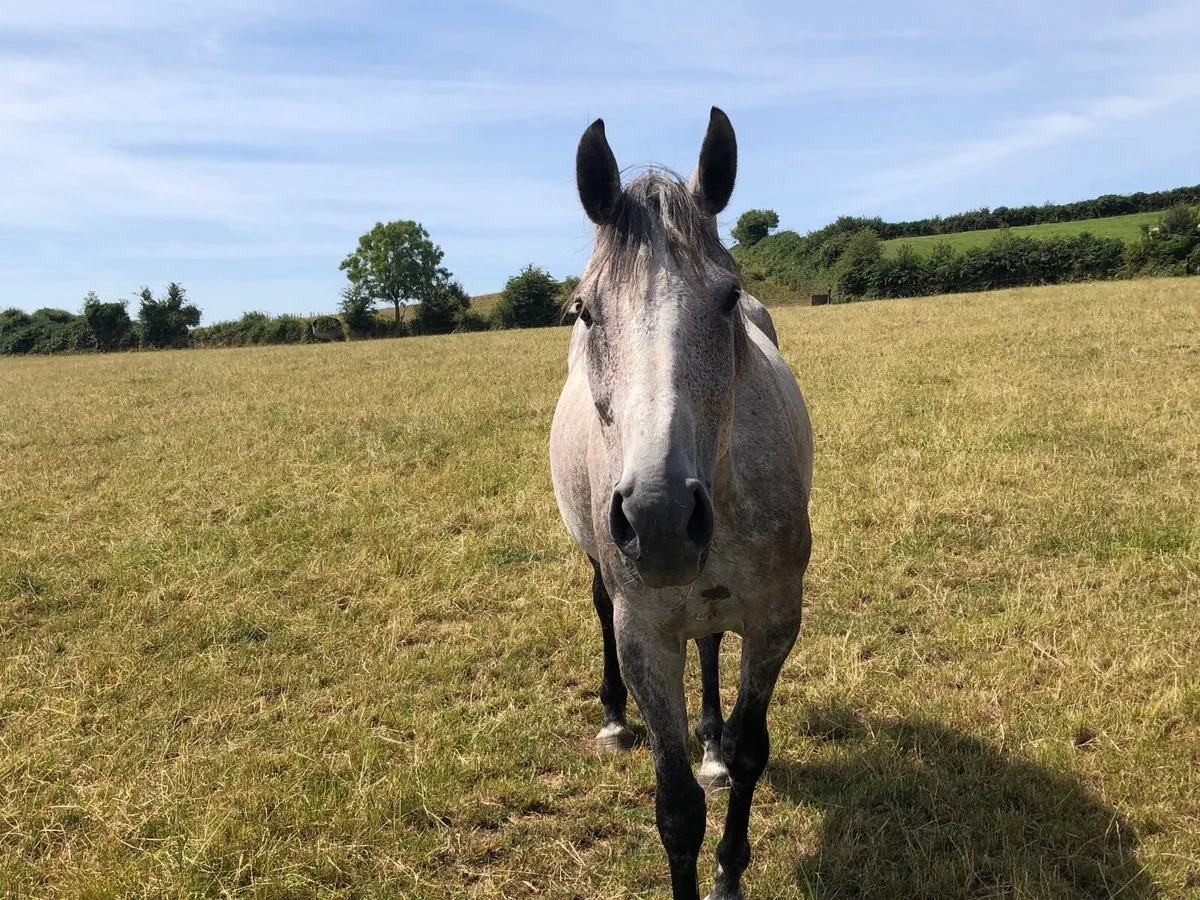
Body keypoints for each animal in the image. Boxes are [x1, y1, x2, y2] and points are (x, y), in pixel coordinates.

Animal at [549, 107, 814, 900]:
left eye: (726, 298)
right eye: (584, 309)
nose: (660, 519)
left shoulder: (775, 619)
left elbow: (753, 750)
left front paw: (729, 867)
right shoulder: (644, 636)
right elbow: (675, 808)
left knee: (710, 640)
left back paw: (713, 746)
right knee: (601, 606)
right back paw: (613, 719)